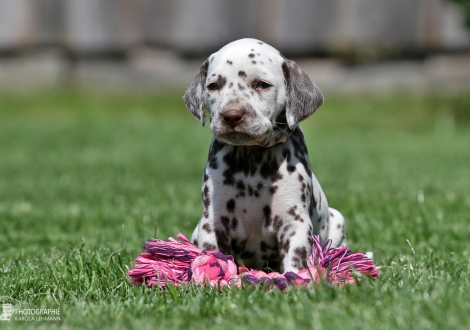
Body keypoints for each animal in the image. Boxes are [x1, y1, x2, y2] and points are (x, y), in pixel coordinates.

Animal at [185, 38, 346, 274]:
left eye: (262, 84)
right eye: (213, 86)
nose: (231, 115)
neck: (252, 163)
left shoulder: (294, 223)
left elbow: (295, 261)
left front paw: (293, 279)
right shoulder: (213, 222)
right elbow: (212, 255)